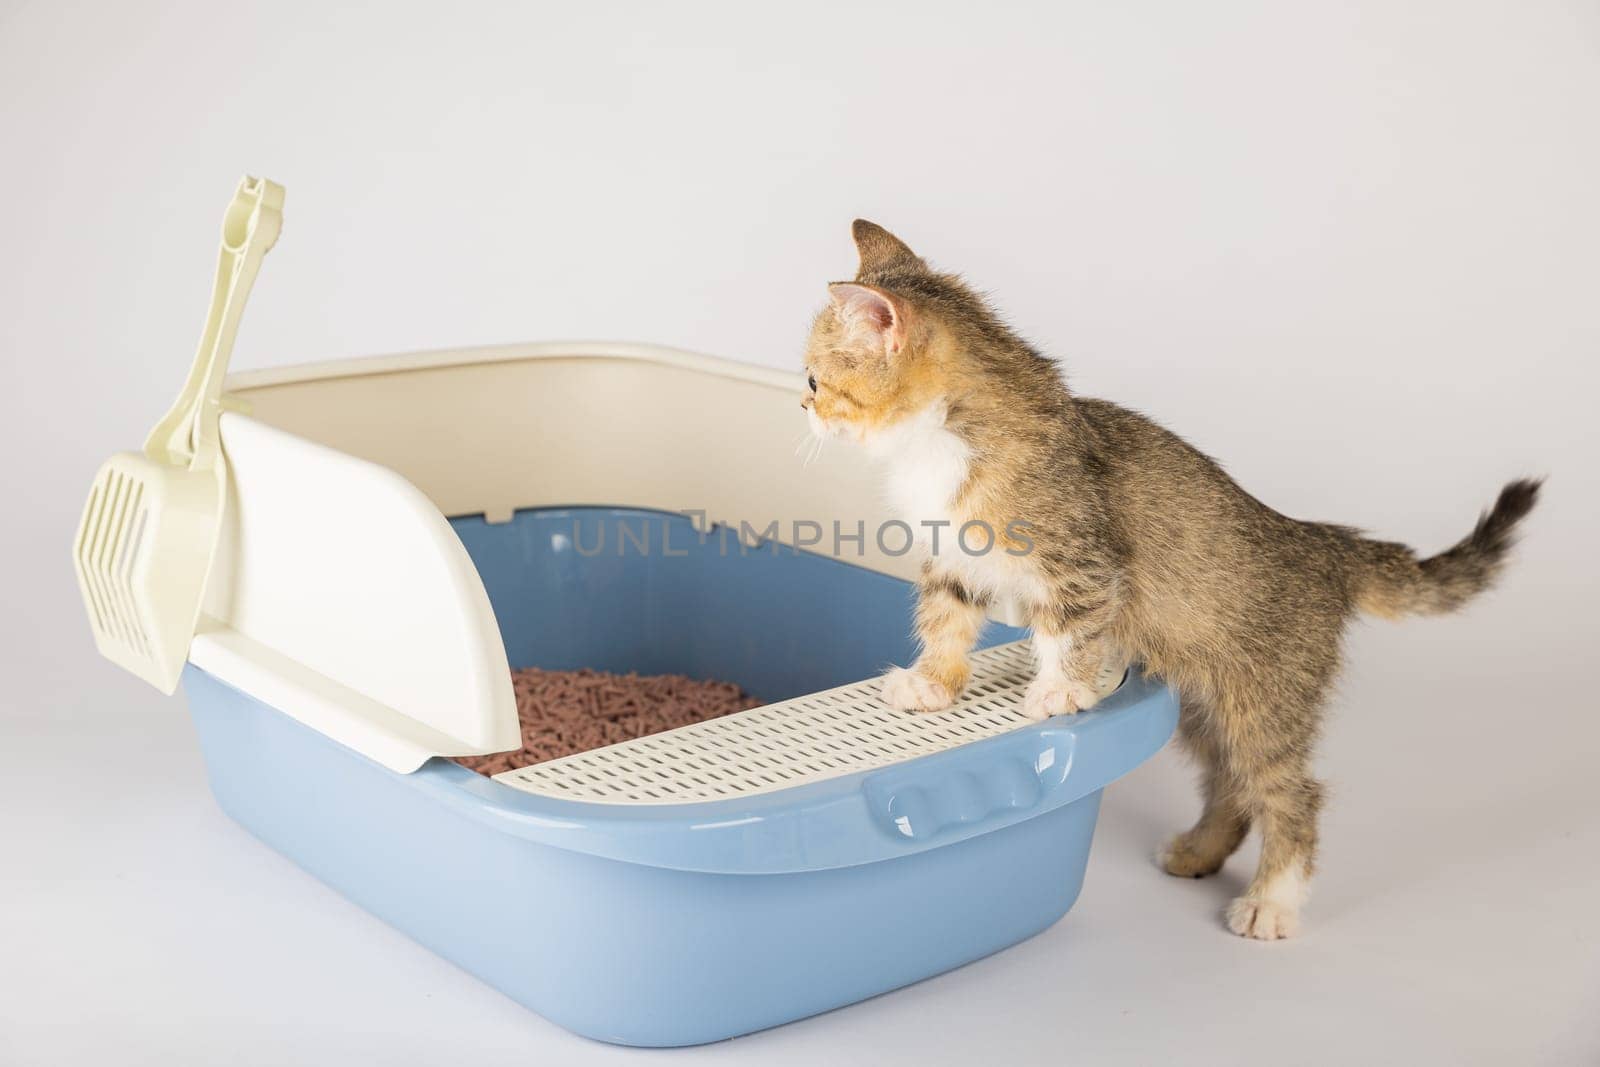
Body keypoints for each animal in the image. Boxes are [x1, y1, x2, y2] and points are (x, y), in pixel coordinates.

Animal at [800, 220, 1536, 940]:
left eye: (812, 380)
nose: (804, 408)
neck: (945, 437)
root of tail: (1319, 541)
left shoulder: (1084, 562)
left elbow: (1069, 630)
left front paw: (1058, 692)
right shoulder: (954, 559)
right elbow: (946, 618)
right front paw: (931, 684)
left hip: (1266, 701)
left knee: (1289, 793)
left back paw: (1273, 901)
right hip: (1207, 705)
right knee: (1232, 784)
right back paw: (1198, 851)